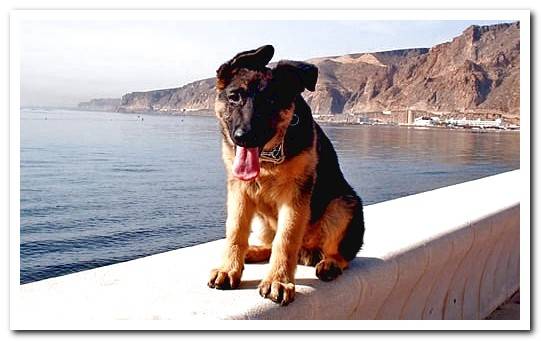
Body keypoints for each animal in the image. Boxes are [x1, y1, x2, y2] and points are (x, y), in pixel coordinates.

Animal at [209, 45, 364, 306]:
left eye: (272, 100)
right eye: (234, 97)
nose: (244, 137)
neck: (269, 156)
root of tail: (308, 251)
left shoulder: (295, 196)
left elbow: (286, 238)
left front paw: (278, 281)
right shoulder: (239, 191)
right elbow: (235, 231)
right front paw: (229, 268)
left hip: (344, 204)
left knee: (341, 252)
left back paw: (330, 263)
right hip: (262, 219)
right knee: (268, 242)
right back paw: (253, 251)